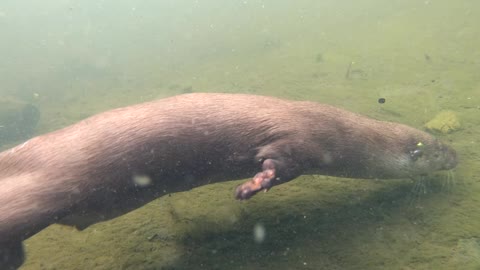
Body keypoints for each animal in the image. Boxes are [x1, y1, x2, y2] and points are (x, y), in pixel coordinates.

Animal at [0, 93, 458, 268]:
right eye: (437, 148)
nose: (458, 156)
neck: (336, 131)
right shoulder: (297, 142)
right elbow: (276, 166)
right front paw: (247, 189)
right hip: (38, 195)